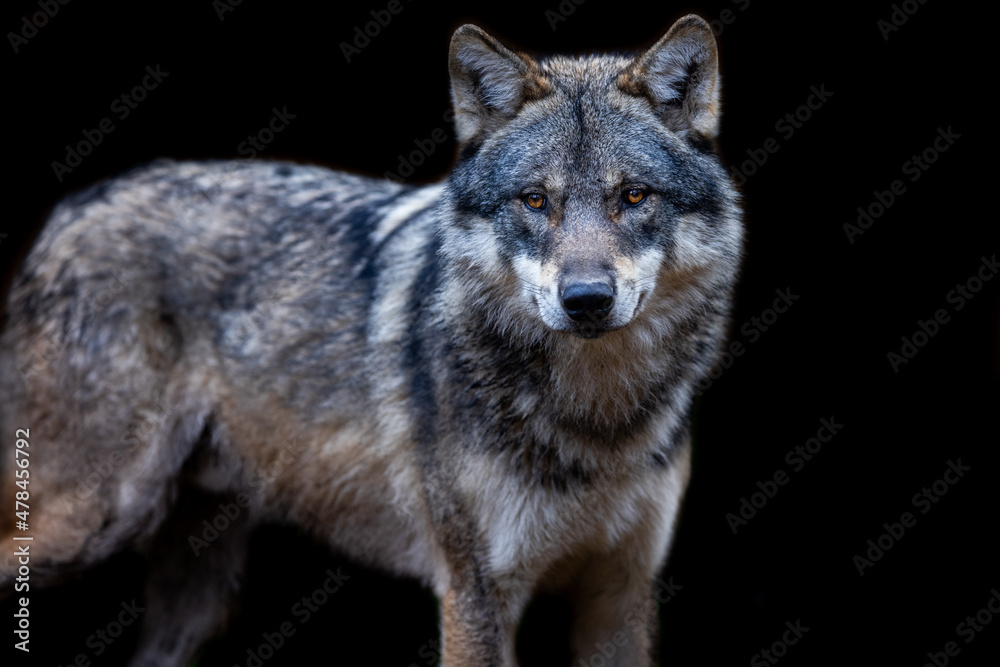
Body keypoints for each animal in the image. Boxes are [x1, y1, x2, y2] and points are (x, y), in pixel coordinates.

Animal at [0, 15, 744, 667]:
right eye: (535, 201)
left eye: (634, 196)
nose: (585, 299)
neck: (597, 418)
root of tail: (69, 212)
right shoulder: (475, 592)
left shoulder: (620, 593)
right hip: (96, 517)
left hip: (199, 590)